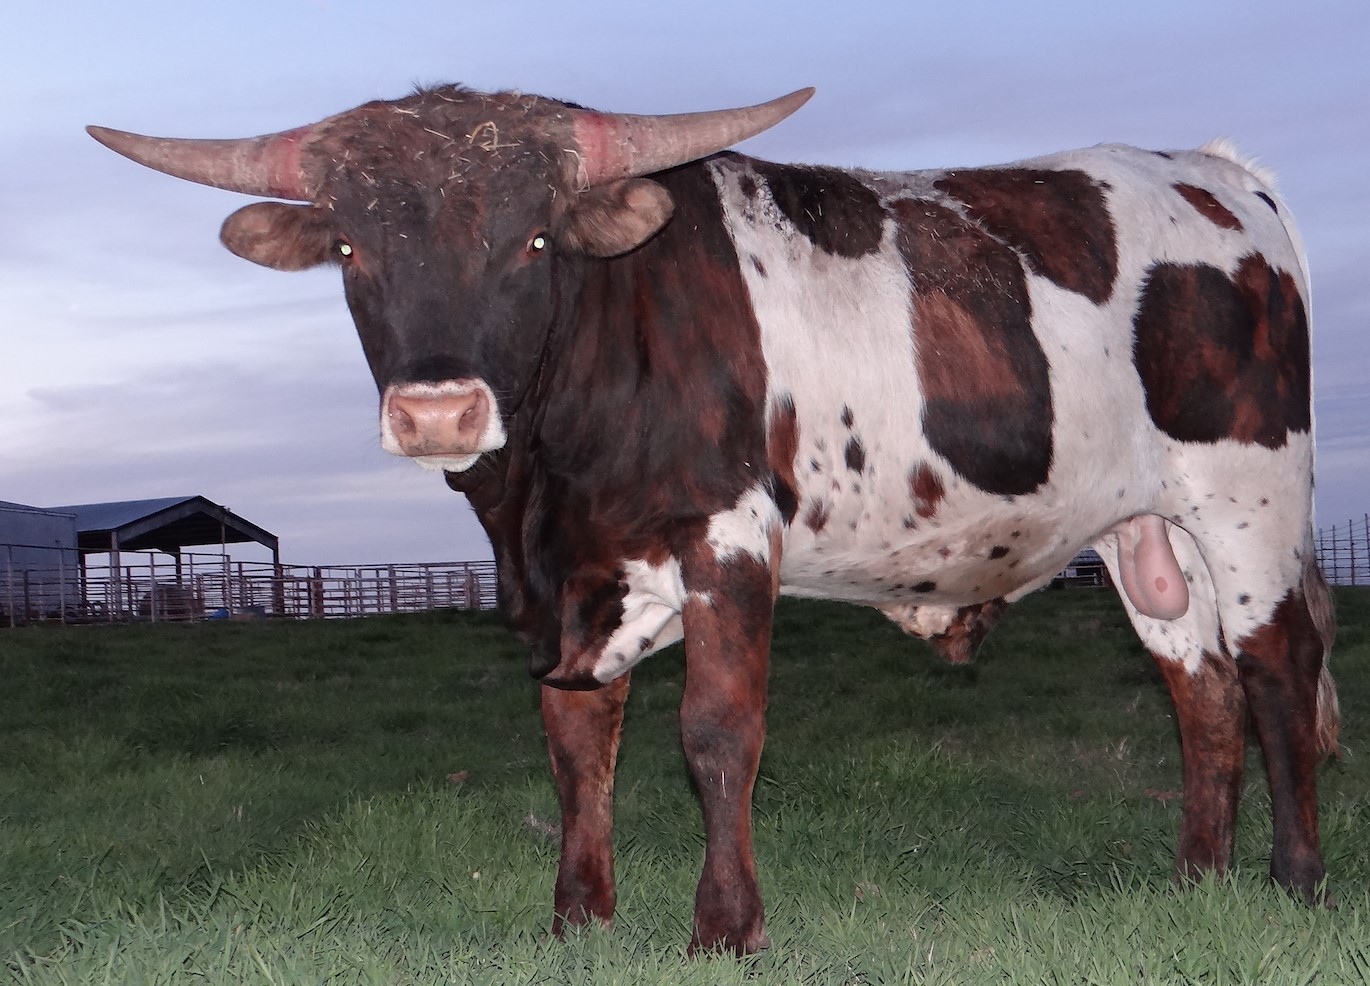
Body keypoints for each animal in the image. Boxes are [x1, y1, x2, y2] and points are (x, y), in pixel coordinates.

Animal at [89, 84, 1339, 955]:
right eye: (352, 246)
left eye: (529, 240)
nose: (437, 408)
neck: (544, 485)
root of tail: (1213, 172)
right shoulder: (569, 585)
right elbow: (575, 740)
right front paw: (577, 917)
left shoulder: (727, 534)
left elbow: (715, 732)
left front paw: (725, 926)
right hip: (1146, 531)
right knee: (1198, 686)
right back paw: (1195, 878)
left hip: (1248, 494)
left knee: (1276, 667)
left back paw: (1294, 881)